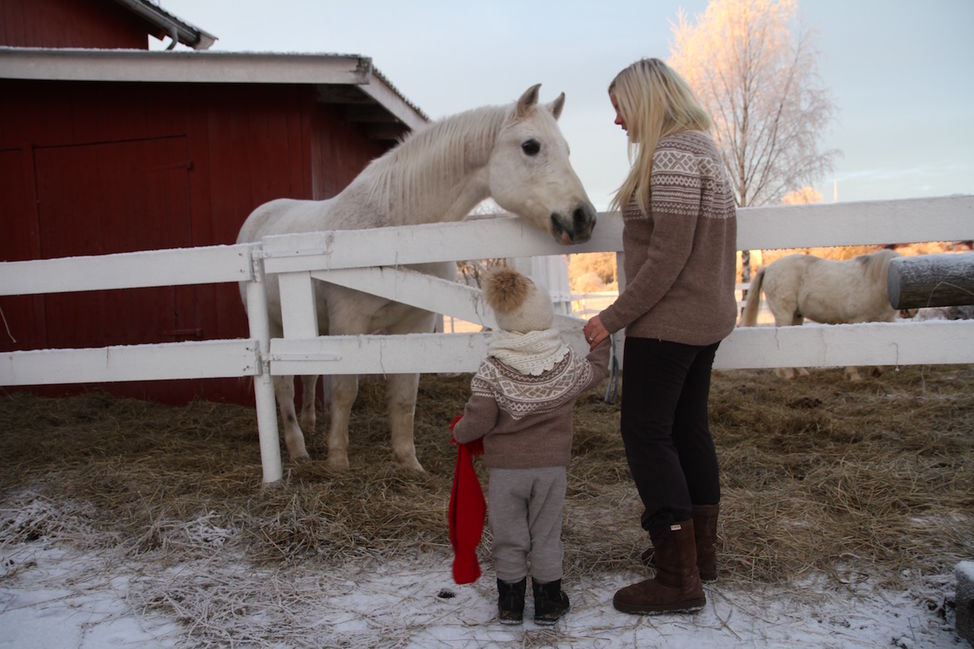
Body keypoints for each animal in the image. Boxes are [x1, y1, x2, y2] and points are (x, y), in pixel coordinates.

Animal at [240, 85, 600, 470]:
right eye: (531, 146)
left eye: (566, 149)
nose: (583, 218)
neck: (396, 233)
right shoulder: (348, 323)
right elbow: (345, 390)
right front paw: (338, 460)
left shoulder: (414, 324)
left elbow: (403, 395)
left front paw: (409, 463)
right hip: (274, 327)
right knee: (284, 388)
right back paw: (298, 446)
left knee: (307, 379)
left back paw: (309, 425)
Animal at [748, 248, 908, 380]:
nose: (907, 311)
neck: (872, 282)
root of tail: (768, 268)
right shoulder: (857, 321)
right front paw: (854, 376)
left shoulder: (886, 321)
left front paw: (877, 370)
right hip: (784, 315)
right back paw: (787, 374)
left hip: (796, 316)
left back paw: (801, 373)